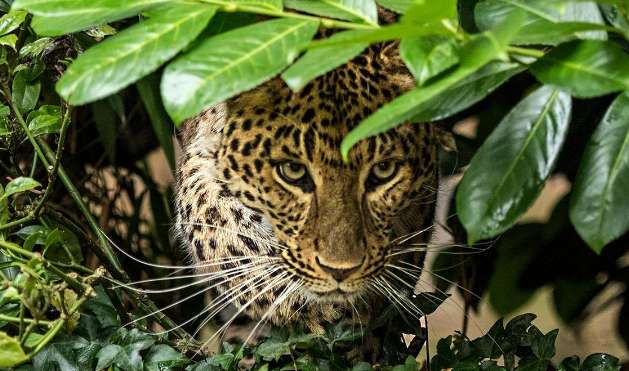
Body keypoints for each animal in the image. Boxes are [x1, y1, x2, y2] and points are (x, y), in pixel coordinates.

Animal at [174, 16, 444, 348]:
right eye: (292, 170)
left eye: (383, 170)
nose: (339, 272)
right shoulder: (200, 161)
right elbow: (221, 229)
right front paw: (309, 306)